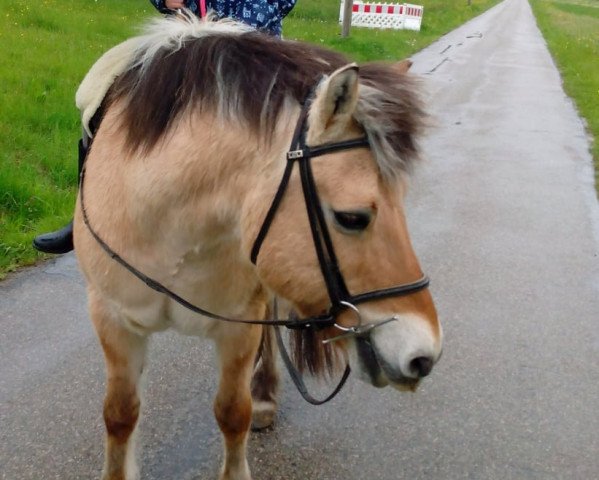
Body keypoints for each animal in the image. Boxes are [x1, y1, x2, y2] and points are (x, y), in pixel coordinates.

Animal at [72, 11, 442, 480]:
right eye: (352, 218)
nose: (424, 356)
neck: (169, 227)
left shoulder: (238, 326)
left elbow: (234, 412)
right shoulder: (112, 319)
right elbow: (120, 414)